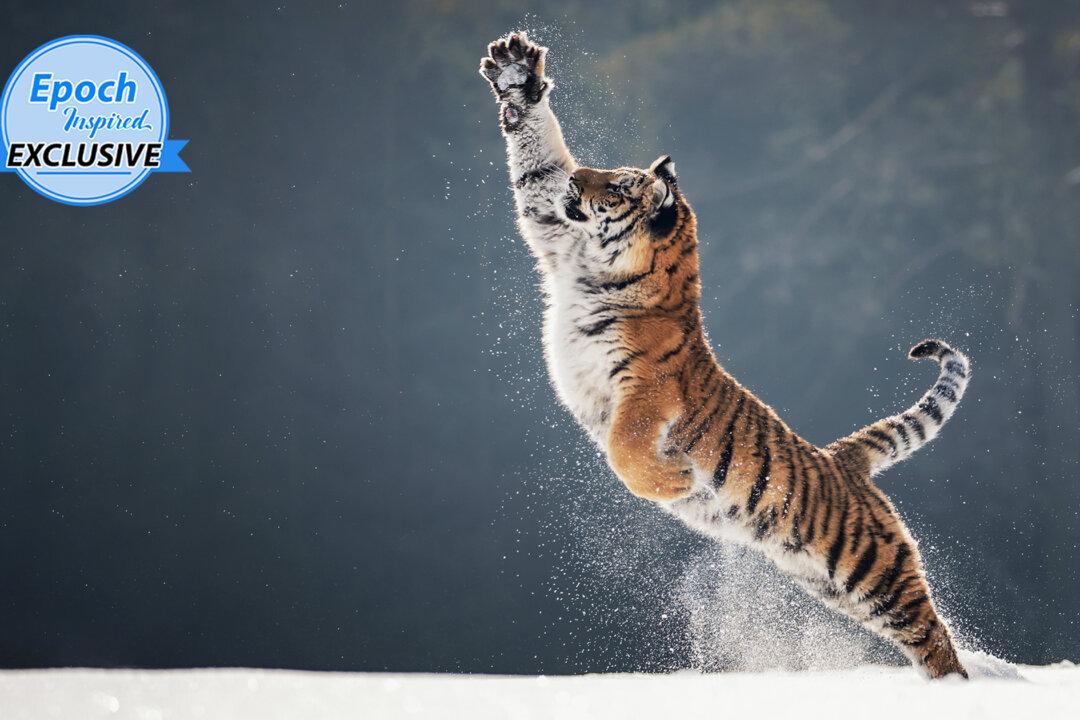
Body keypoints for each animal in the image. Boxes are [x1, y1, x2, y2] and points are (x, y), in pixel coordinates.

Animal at [480, 32, 970, 679]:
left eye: (617, 186)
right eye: (599, 175)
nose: (578, 178)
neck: (598, 270)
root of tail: (845, 461)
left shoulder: (646, 389)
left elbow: (625, 450)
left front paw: (676, 480)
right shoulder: (554, 232)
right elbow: (536, 168)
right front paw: (516, 75)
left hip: (872, 569)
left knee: (934, 633)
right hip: (829, 582)